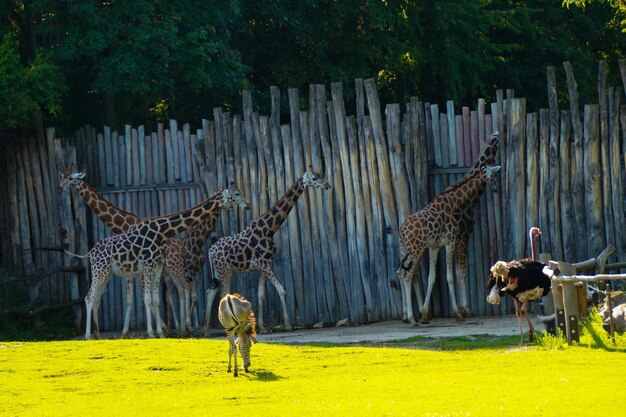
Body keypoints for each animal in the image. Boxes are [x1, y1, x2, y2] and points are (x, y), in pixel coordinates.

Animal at [56, 168, 246, 334]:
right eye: (63, 177)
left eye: (70, 178)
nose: (247, 204)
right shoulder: (141, 268)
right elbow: (142, 299)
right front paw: (151, 330)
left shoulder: (146, 268)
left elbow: (147, 299)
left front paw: (155, 330)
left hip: (171, 269)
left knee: (185, 290)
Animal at [205, 171, 332, 334]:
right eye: (315, 178)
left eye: (319, 175)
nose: (327, 185)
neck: (270, 228)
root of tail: (210, 251)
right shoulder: (264, 263)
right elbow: (282, 290)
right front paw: (288, 325)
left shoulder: (264, 263)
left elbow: (260, 294)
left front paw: (263, 327)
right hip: (225, 270)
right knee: (223, 295)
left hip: (218, 272)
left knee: (210, 293)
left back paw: (206, 330)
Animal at [394, 163, 502, 324]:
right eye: (491, 176)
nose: (495, 189)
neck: (453, 203)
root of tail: (401, 232)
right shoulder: (450, 241)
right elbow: (450, 277)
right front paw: (458, 313)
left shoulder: (435, 246)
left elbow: (432, 277)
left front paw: (424, 314)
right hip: (416, 249)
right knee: (408, 275)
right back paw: (412, 319)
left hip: (404, 249)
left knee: (400, 273)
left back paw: (406, 316)